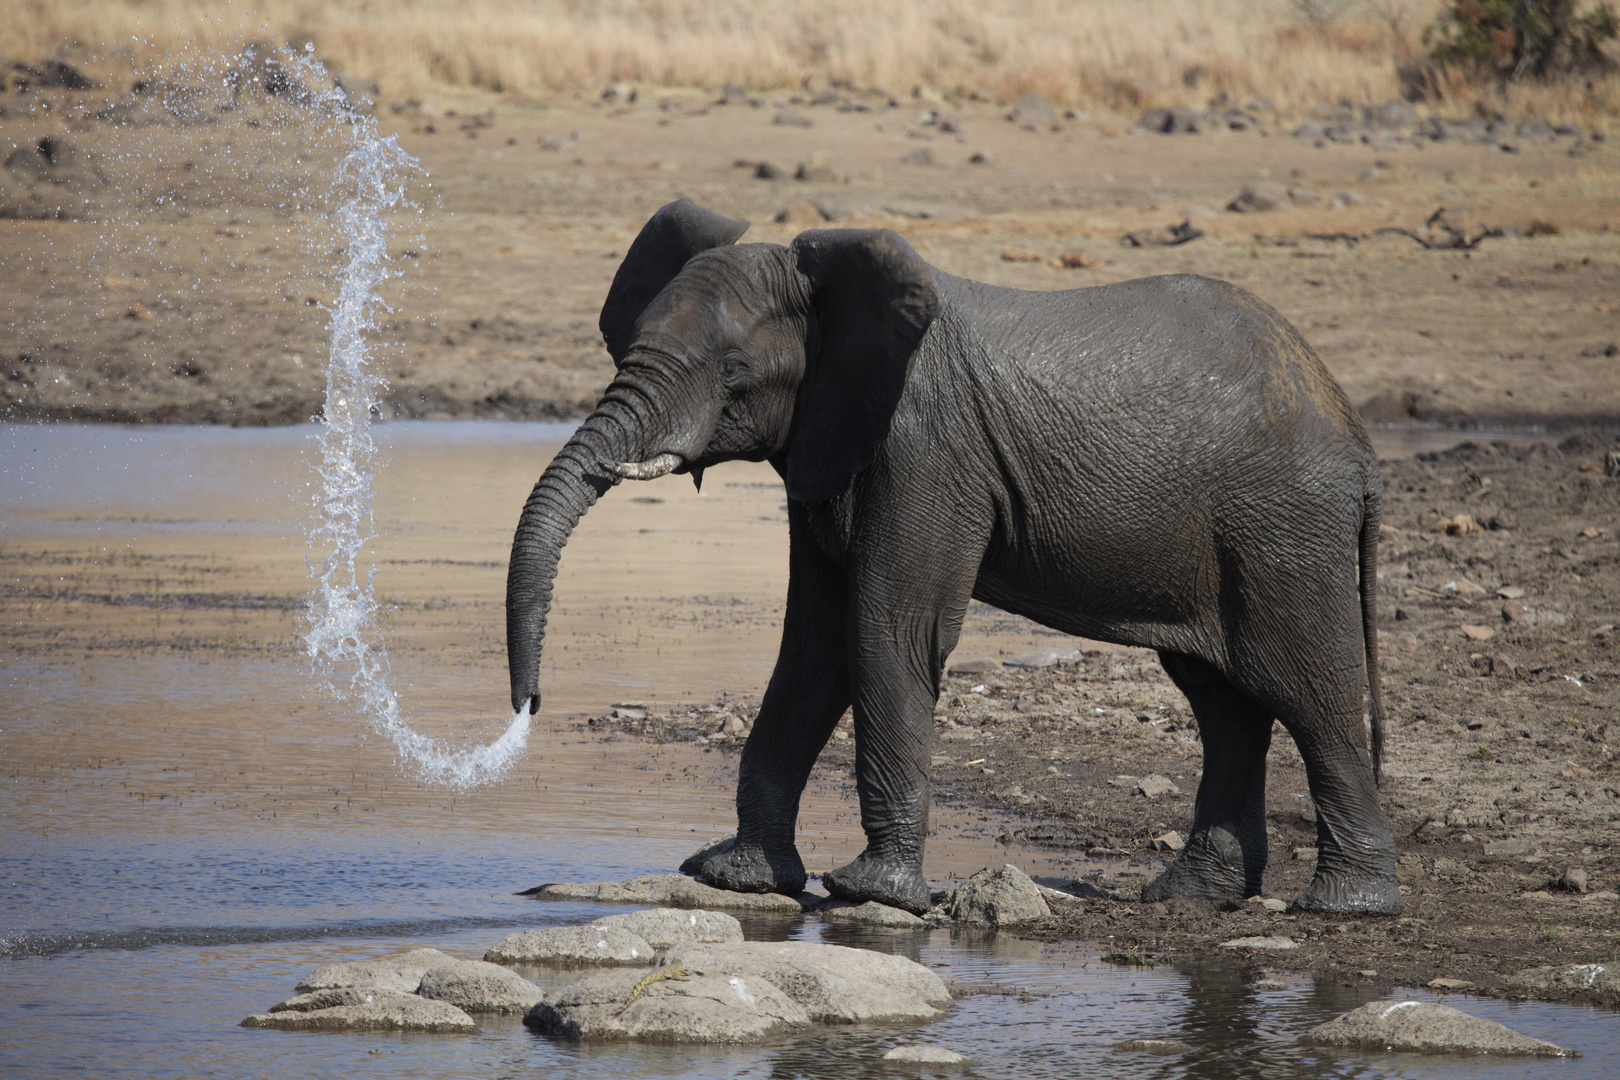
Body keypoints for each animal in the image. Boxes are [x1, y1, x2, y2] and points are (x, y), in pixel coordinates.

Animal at [508, 198, 1406, 919]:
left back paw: (1347, 907)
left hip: (1283, 526)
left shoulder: (925, 449)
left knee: (1304, 686)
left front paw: (870, 893)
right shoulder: (830, 439)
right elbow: (814, 646)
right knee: (1223, 699)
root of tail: (1356, 436)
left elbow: (887, 630)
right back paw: (1188, 899)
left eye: (732, 372)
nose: (530, 705)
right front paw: (736, 877)